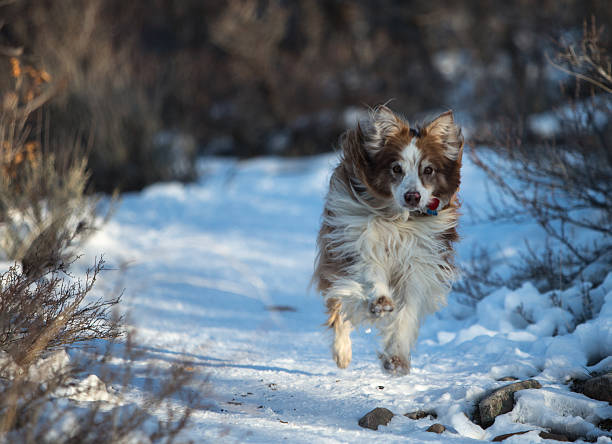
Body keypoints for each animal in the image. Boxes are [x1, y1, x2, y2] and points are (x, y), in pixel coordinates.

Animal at [314, 105, 462, 374]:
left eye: (428, 170)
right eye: (396, 168)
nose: (413, 196)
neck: (399, 221)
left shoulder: (420, 261)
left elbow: (407, 312)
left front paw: (396, 359)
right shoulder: (359, 240)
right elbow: (371, 271)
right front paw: (381, 301)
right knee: (340, 308)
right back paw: (343, 351)